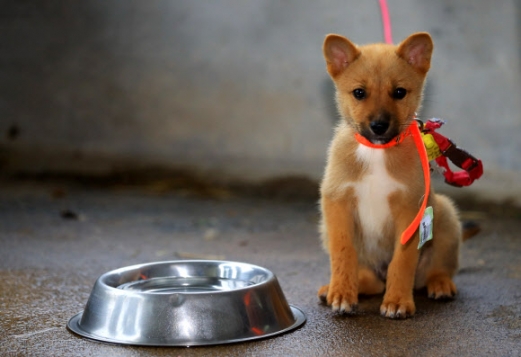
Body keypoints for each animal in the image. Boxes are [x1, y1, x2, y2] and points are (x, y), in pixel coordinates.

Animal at [318, 32, 462, 318]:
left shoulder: (410, 211)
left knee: (438, 267)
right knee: (371, 281)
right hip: (326, 229)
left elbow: (402, 261)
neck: (377, 152)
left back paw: (440, 284)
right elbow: (343, 253)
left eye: (399, 92)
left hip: (445, 215)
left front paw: (397, 301)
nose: (379, 126)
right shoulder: (337, 203)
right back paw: (336, 288)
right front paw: (342, 294)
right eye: (359, 93)